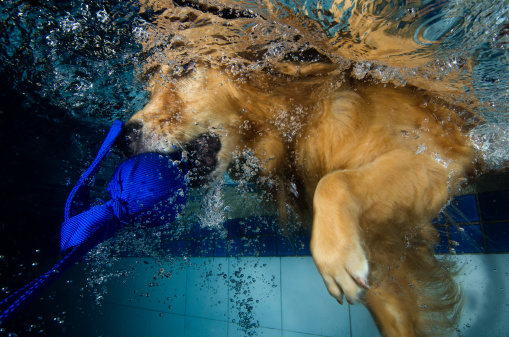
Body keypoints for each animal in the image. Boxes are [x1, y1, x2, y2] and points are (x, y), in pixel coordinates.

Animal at [119, 61, 476, 336]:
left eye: (184, 69)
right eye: (149, 89)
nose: (124, 136)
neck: (299, 121)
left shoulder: (436, 159)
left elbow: (334, 182)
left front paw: (334, 257)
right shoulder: (381, 256)